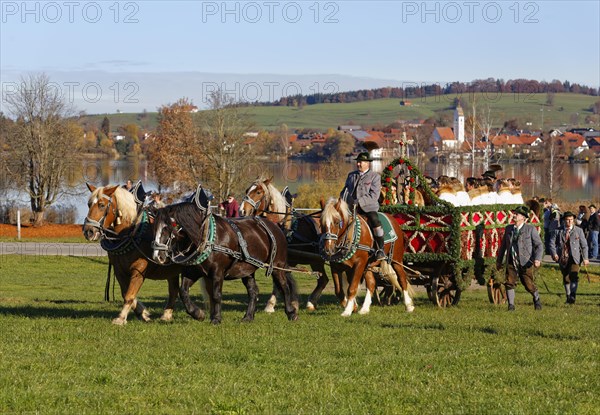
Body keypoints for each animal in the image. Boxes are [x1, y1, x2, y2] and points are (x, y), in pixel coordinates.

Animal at [82, 184, 190, 324]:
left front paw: (121, 318)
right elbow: (126, 293)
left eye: (101, 205)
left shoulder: (139, 268)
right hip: (171, 270)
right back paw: (166, 315)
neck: (131, 233)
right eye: (89, 204)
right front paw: (143, 313)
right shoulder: (119, 270)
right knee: (173, 290)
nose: (88, 231)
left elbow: (129, 294)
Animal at [151, 185, 298, 324]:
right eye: (155, 227)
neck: (205, 237)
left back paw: (291, 313)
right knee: (253, 291)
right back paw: (248, 317)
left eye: (168, 226)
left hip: (278, 265)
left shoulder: (217, 272)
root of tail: (275, 226)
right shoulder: (193, 272)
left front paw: (216, 318)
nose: (157, 256)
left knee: (284, 287)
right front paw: (198, 314)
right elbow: (183, 292)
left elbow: (216, 295)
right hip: (247, 269)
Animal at [239, 178, 332, 312]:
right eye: (247, 190)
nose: (242, 211)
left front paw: (270, 305)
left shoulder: (281, 262)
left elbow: (279, 282)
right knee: (324, 279)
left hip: (317, 261)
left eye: (258, 192)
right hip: (315, 261)